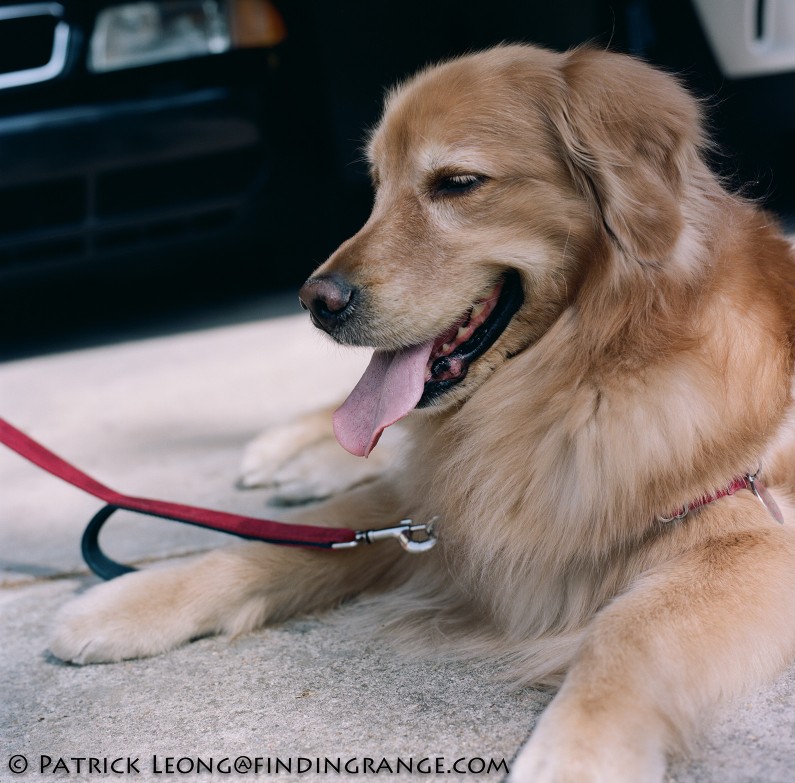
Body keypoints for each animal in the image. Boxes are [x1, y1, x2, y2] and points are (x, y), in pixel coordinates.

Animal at [49, 46, 795, 780]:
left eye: (458, 183)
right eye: (376, 186)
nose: (315, 301)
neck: (584, 371)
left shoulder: (751, 538)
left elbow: (628, 632)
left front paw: (577, 755)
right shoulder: (438, 496)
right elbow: (286, 539)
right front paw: (135, 599)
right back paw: (290, 454)